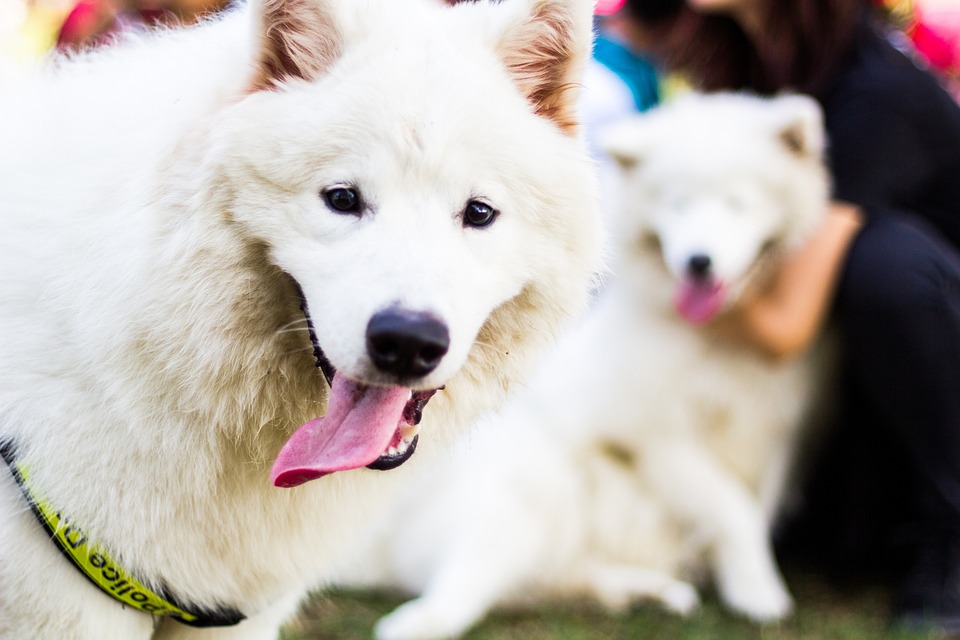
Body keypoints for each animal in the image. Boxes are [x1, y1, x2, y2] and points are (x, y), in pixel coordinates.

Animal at [356, 92, 836, 640]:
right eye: (677, 203)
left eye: (738, 203)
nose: (699, 262)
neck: (722, 337)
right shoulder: (649, 432)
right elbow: (732, 506)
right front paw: (757, 593)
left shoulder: (782, 429)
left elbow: (755, 507)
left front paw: (751, 582)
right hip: (527, 495)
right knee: (463, 584)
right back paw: (417, 622)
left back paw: (651, 591)